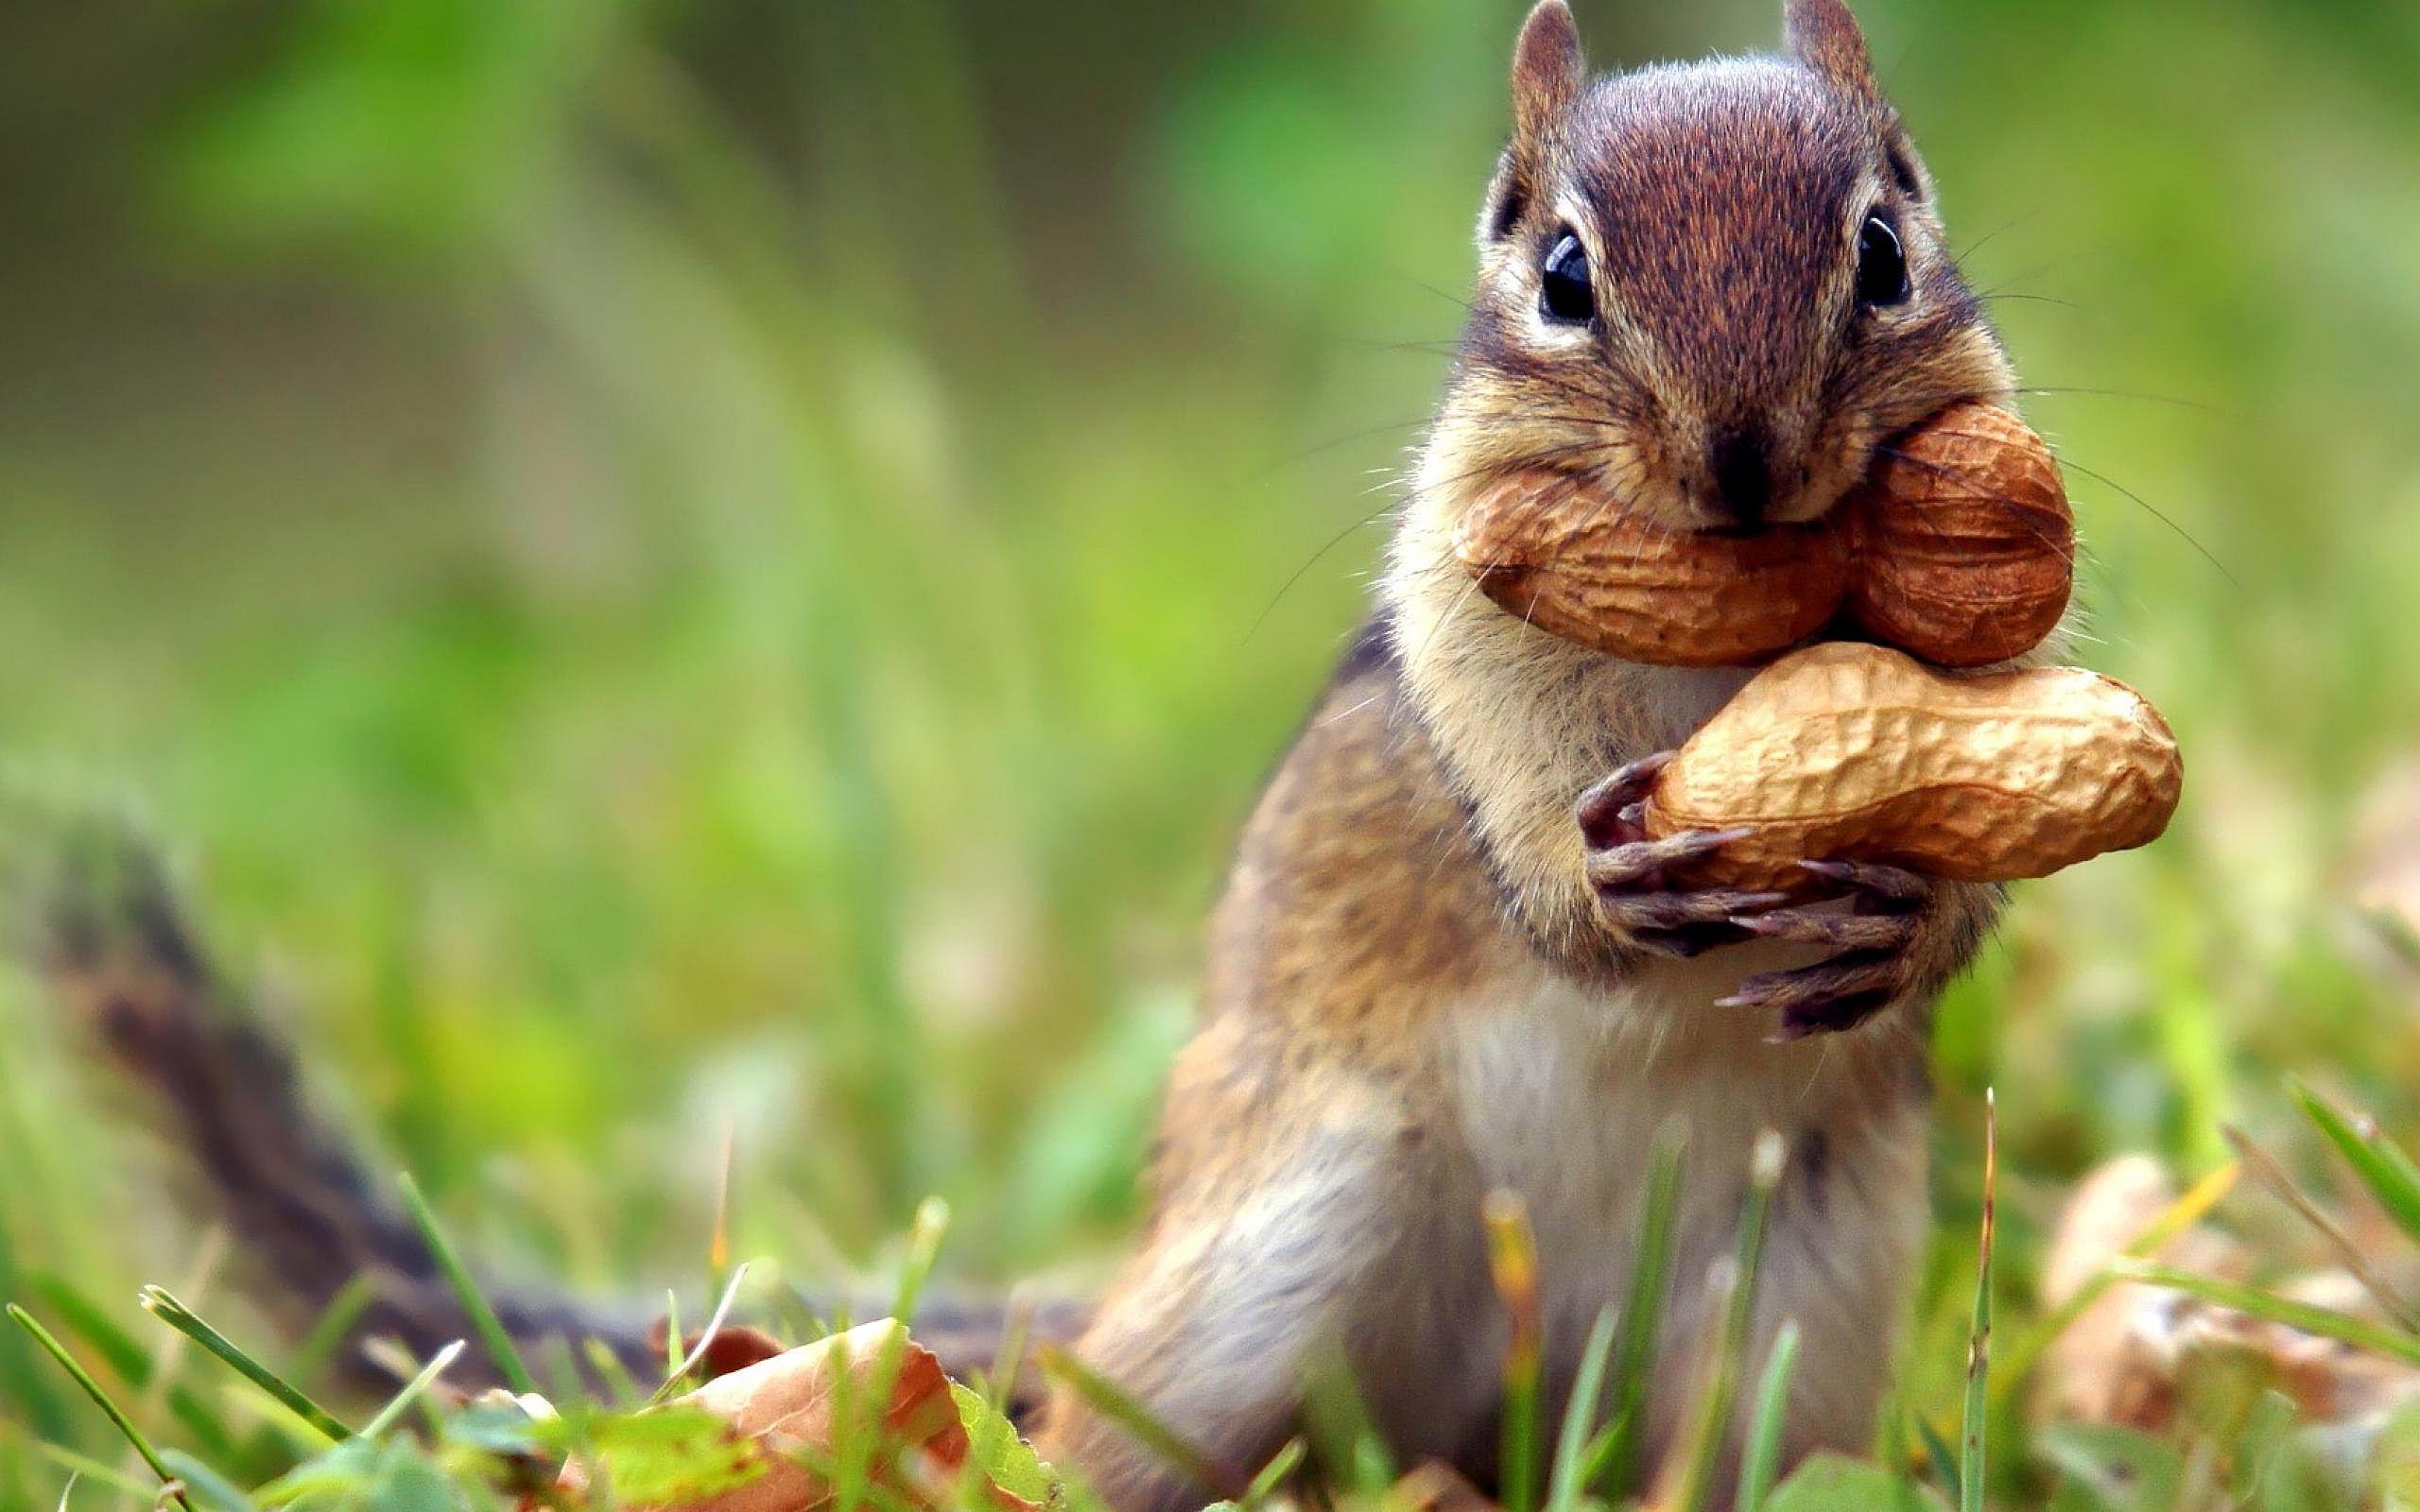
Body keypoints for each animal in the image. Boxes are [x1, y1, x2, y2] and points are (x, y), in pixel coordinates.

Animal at [35, 2, 2037, 1509]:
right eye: (1558, 269)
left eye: (1884, 245)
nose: (1744, 466)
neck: (1735, 625)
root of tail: (1502, 1402)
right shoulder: (1455, 618)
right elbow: (1501, 772)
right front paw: (1592, 886)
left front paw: (1909, 923)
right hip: (1266, 1273)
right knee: (1097, 1448)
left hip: (1792, 1324)